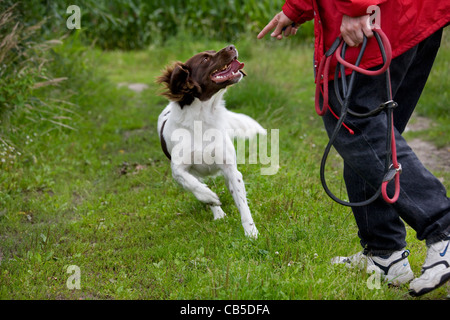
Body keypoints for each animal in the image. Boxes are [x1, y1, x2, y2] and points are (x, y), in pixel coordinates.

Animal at [156, 44, 266, 238]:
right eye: (205, 59)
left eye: (214, 52)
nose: (232, 46)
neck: (203, 119)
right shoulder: (178, 169)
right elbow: (195, 186)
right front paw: (211, 198)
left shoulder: (231, 169)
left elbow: (242, 203)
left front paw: (251, 232)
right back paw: (217, 211)